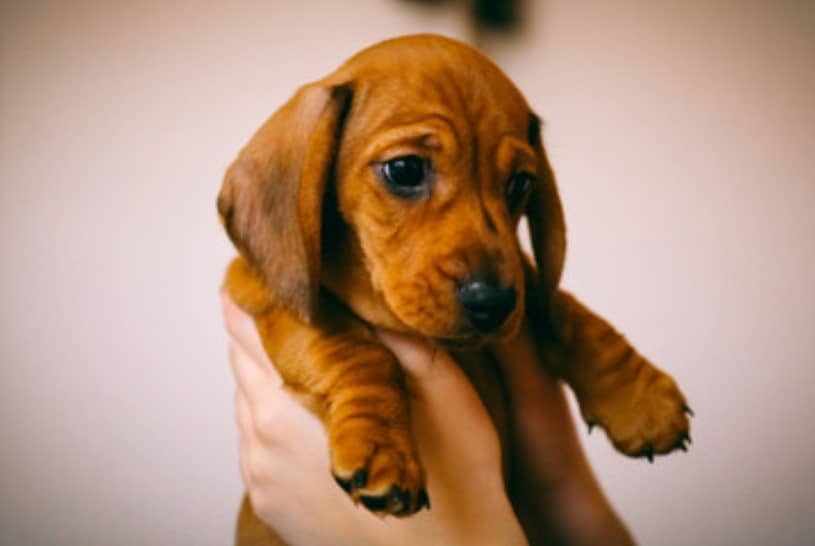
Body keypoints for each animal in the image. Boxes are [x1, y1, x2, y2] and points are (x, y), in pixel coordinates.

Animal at [220, 34, 692, 544]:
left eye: (520, 184)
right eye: (405, 170)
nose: (494, 303)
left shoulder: (523, 280)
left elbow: (567, 313)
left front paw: (641, 400)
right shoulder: (263, 294)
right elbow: (350, 346)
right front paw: (382, 444)